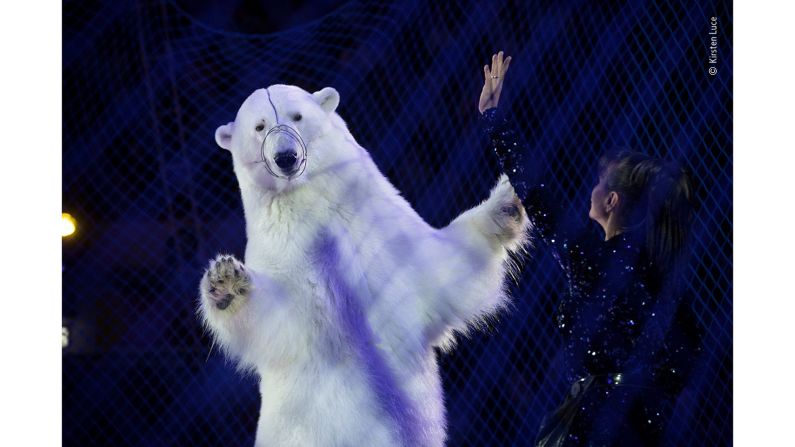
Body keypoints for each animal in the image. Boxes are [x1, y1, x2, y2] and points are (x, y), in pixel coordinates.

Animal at [201, 85, 528, 447]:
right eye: (259, 126)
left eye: (297, 116)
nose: (286, 157)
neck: (308, 201)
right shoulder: (281, 249)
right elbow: (282, 319)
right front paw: (226, 283)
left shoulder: (378, 221)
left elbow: (440, 269)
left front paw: (506, 201)